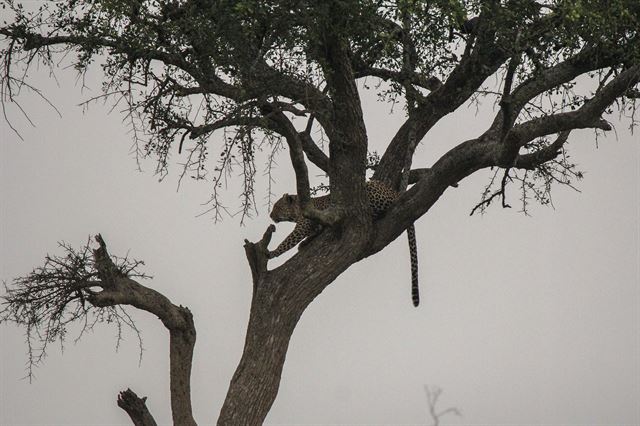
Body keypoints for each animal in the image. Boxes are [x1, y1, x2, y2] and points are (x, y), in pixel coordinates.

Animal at [266, 180, 420, 306]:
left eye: (277, 207)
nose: (271, 215)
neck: (297, 211)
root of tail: (395, 192)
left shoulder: (302, 227)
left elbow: (286, 242)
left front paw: (272, 253)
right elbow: (312, 234)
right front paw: (305, 243)